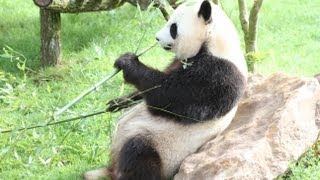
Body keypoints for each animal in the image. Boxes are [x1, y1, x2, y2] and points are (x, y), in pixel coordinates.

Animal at [85, 0, 248, 179]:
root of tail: (112, 169)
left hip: (161, 146)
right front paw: (117, 102)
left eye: (173, 28)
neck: (215, 41)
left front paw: (127, 62)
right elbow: (148, 89)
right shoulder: (180, 61)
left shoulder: (218, 76)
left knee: (138, 154)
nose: (156, 38)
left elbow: (167, 96)